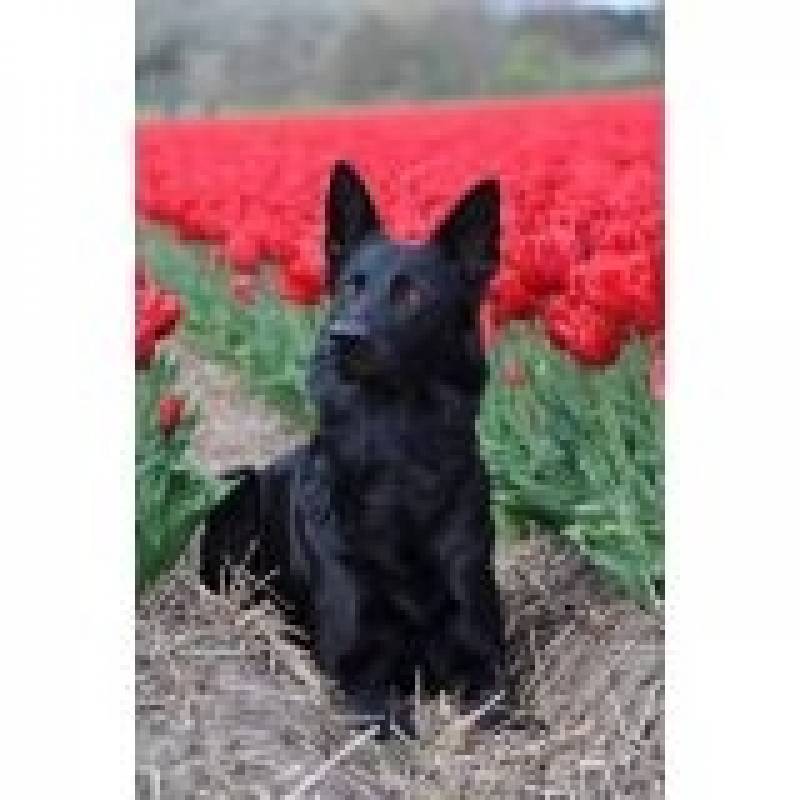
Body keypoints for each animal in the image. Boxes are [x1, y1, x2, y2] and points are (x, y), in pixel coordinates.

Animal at [198, 161, 506, 736]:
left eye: (412, 295)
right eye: (349, 287)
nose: (343, 337)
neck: (398, 463)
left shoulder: (485, 660)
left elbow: (490, 707)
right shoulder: (357, 669)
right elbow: (387, 718)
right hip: (239, 492)